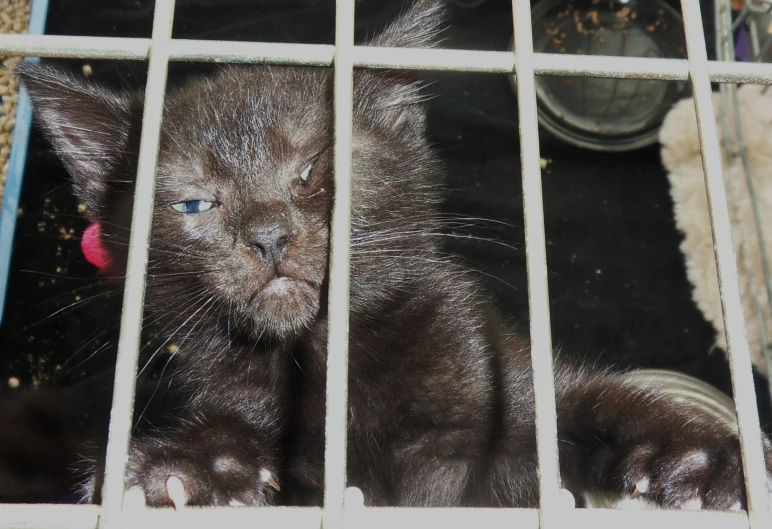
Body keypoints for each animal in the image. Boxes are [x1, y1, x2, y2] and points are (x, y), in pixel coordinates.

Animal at [16, 0, 772, 512]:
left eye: (315, 169)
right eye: (195, 204)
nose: (268, 235)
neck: (333, 361)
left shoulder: (495, 374)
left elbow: (591, 402)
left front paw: (710, 458)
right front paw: (188, 470)